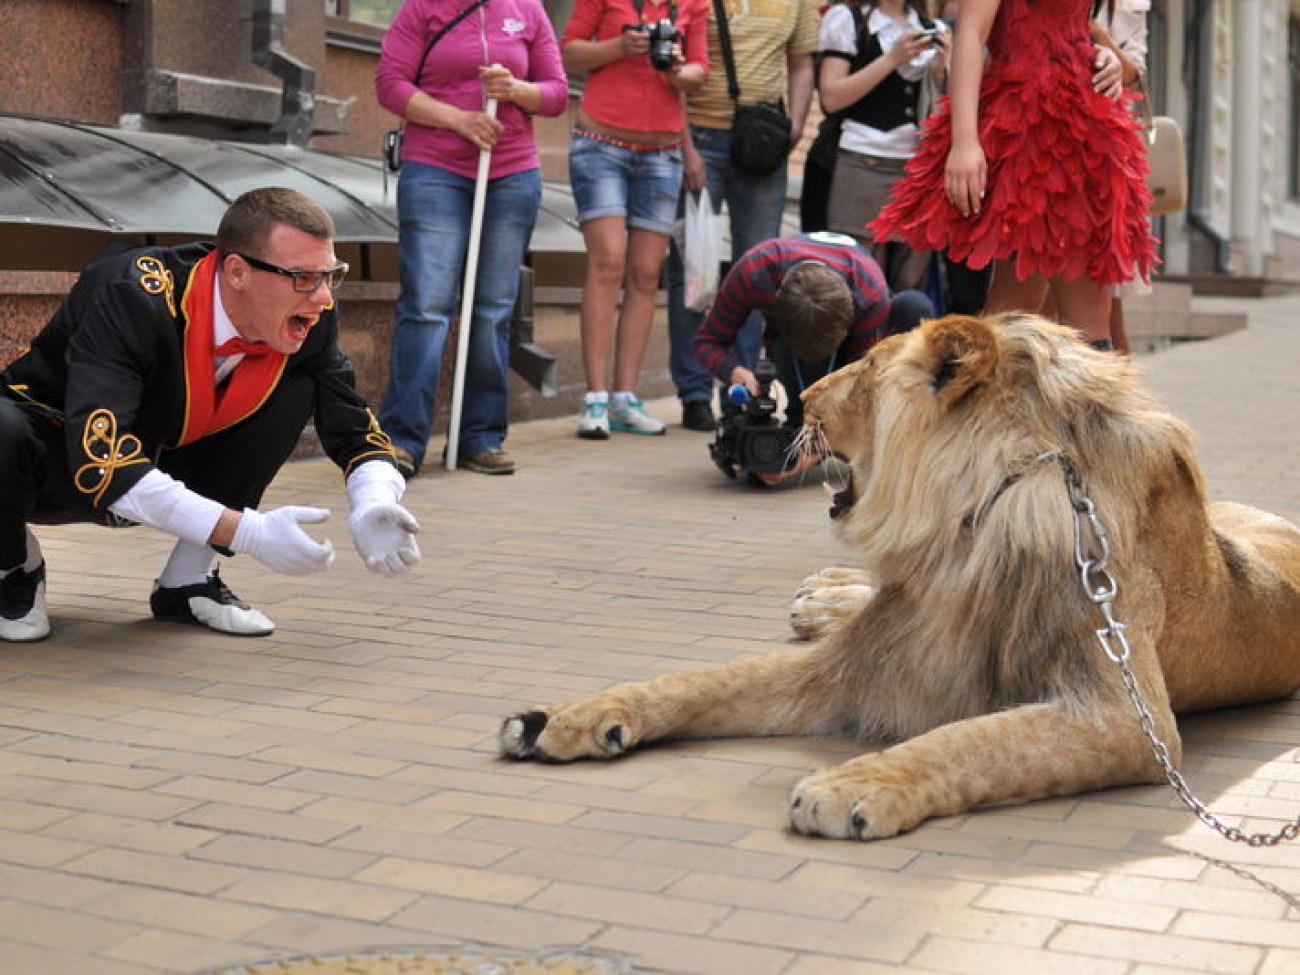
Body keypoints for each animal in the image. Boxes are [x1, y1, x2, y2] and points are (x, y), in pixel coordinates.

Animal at [496, 313, 1300, 842]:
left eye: (864, 370)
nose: (802, 396)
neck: (958, 534)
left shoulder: (1125, 715)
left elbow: (972, 740)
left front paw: (854, 782)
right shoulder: (861, 654)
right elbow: (700, 679)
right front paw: (565, 717)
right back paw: (821, 594)